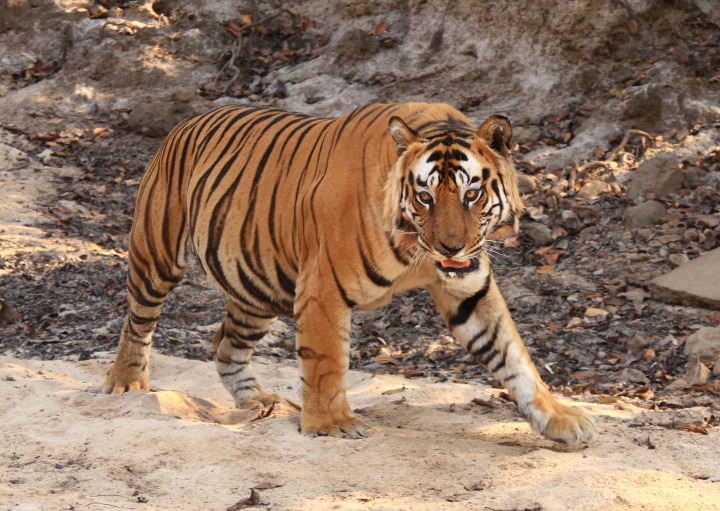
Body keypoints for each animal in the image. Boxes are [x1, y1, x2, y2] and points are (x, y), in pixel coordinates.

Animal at [104, 102, 596, 445]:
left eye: (471, 194)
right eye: (425, 197)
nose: (451, 248)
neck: (416, 251)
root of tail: (184, 122)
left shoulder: (471, 290)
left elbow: (514, 357)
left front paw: (561, 420)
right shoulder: (321, 288)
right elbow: (326, 361)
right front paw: (331, 425)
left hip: (259, 286)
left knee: (225, 343)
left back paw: (257, 401)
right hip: (157, 255)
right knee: (138, 322)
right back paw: (127, 382)